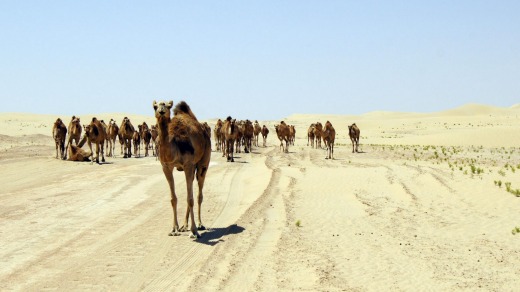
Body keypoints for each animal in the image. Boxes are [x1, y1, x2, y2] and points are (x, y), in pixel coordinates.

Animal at [152, 99, 211, 238]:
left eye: (168, 106)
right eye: (154, 107)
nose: (161, 111)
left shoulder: (188, 164)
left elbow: (190, 199)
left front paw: (194, 231)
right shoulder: (166, 166)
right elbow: (173, 199)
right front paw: (174, 229)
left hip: (203, 162)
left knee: (199, 194)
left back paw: (199, 224)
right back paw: (184, 225)